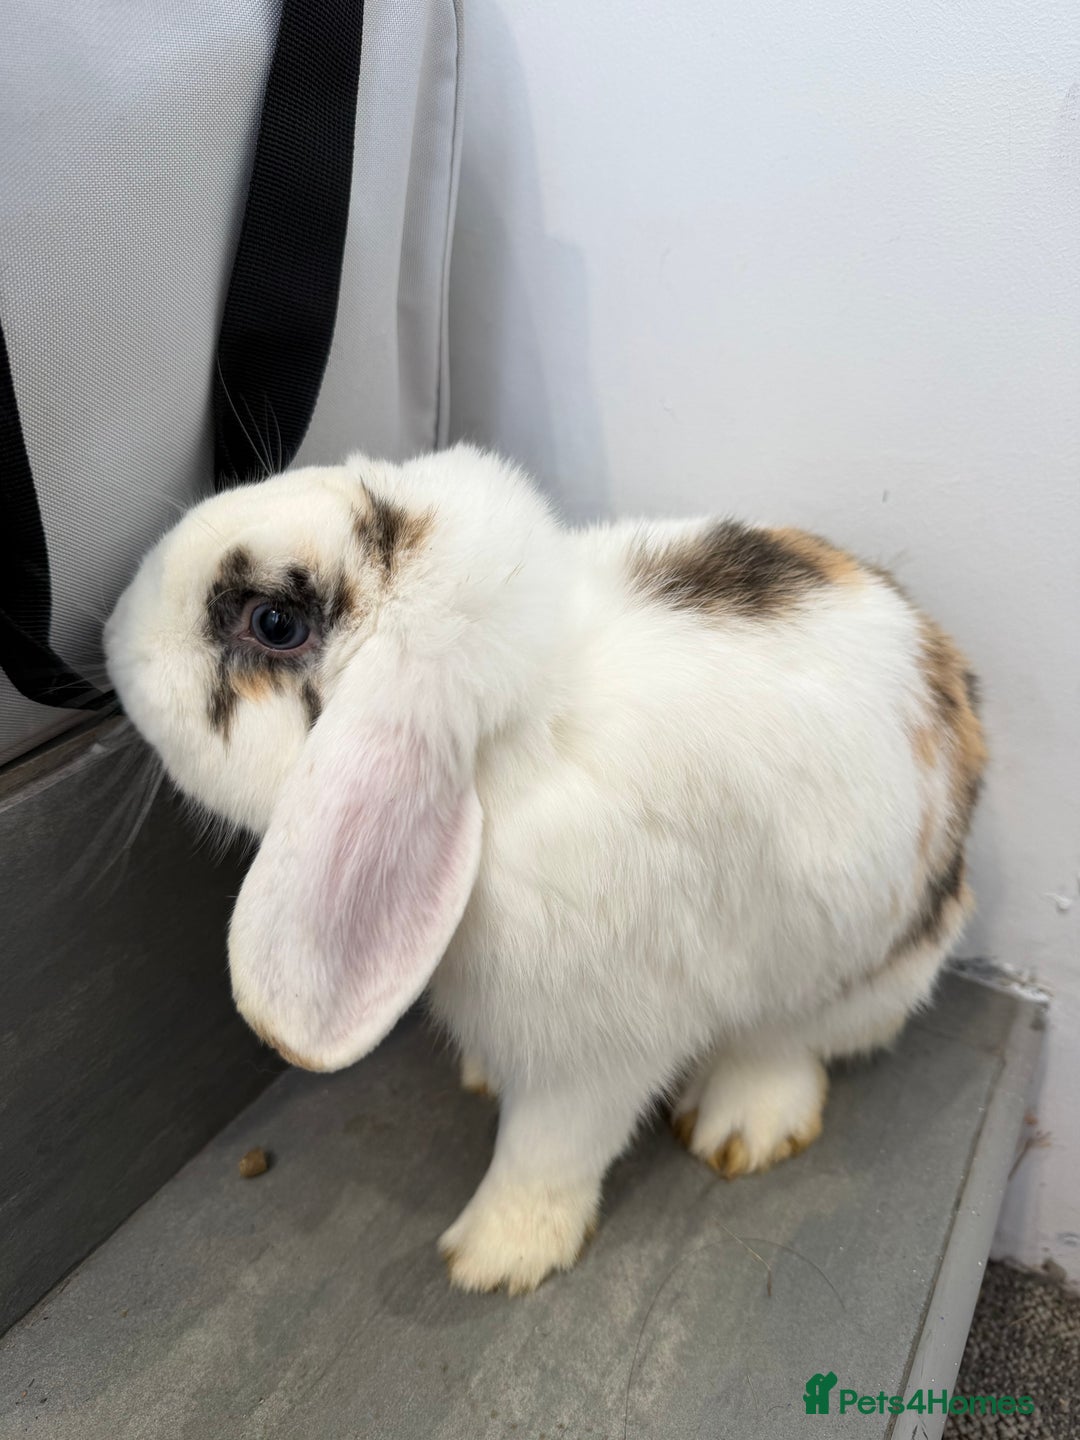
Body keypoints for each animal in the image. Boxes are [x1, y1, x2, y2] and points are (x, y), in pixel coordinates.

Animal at [104, 443, 986, 1295]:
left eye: (274, 621)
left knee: (789, 1043)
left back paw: (741, 1126)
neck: (518, 740)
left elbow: (549, 1150)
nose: (112, 634)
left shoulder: (596, 1043)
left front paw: (495, 1258)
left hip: (855, 970)